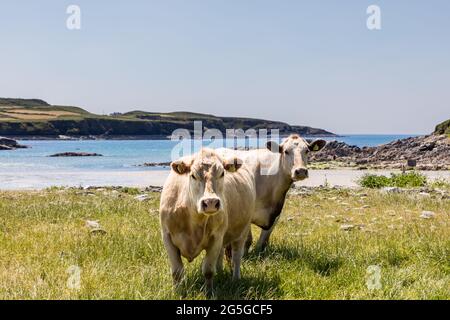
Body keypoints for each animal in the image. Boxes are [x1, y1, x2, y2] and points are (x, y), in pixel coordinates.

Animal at [160, 148, 255, 296]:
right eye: (193, 175)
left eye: (222, 173)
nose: (210, 202)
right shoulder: (167, 236)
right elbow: (177, 272)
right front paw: (178, 292)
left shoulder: (216, 237)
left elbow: (208, 270)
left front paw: (209, 293)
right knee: (221, 255)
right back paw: (221, 273)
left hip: (243, 231)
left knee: (237, 256)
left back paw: (235, 279)